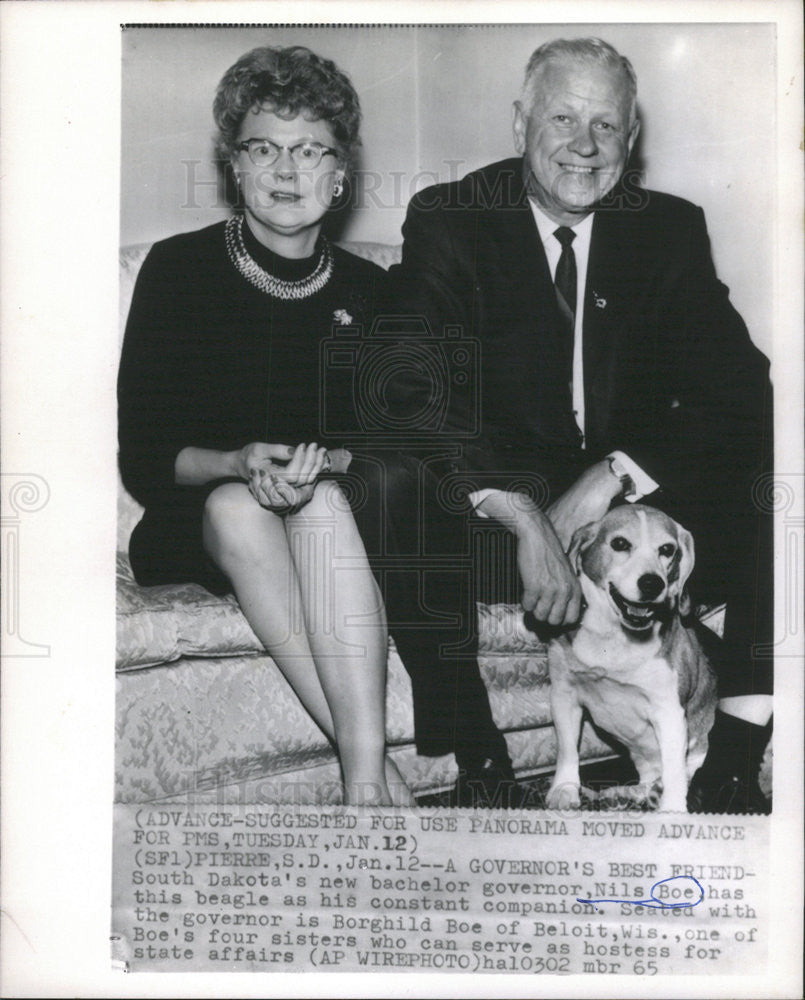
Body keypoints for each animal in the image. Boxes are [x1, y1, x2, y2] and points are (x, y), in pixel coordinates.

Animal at [548, 508, 716, 812]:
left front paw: (673, 811)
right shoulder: (563, 694)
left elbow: (675, 772)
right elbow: (567, 749)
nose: (652, 583)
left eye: (667, 550)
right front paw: (564, 788)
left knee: (675, 775)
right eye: (620, 544)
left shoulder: (669, 712)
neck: (615, 635)